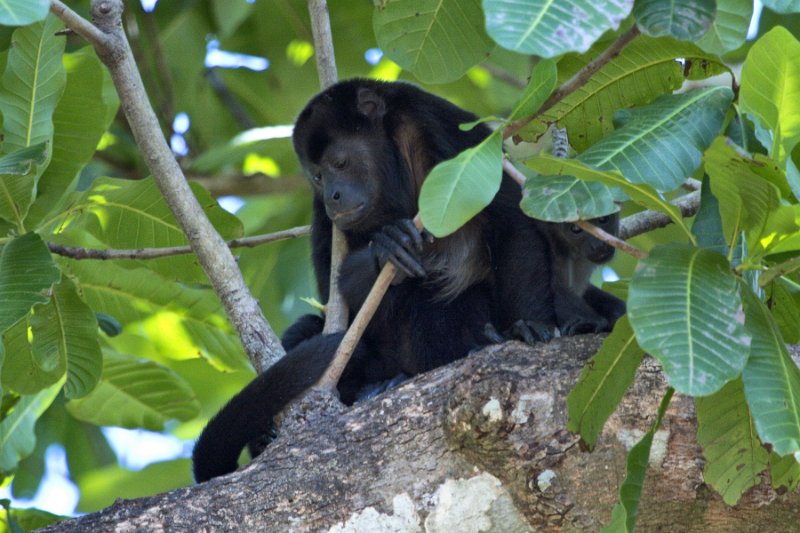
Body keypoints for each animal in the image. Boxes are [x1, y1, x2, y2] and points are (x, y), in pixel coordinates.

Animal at [192, 79, 592, 482]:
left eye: (340, 163)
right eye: (318, 176)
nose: (334, 196)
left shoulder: (443, 129)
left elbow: (513, 223)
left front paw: (528, 326)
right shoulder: (323, 214)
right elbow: (334, 294)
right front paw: (385, 249)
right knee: (312, 326)